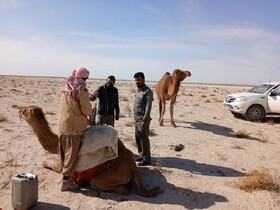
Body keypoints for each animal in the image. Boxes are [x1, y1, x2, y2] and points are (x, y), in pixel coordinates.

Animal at [18, 106, 160, 196]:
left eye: (25, 111)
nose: (18, 111)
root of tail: (133, 166)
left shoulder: (61, 164)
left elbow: (45, 163)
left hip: (110, 175)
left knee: (100, 184)